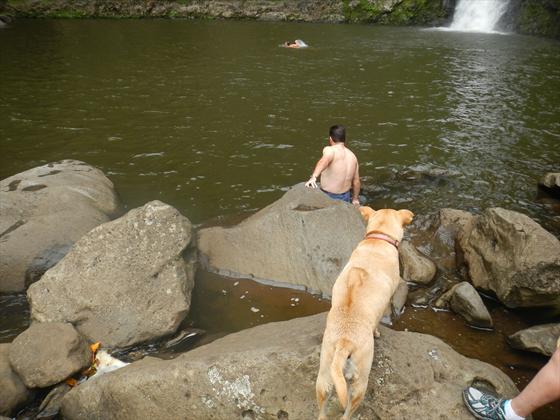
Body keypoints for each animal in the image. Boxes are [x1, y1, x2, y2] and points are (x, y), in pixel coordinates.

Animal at [318, 208, 414, 420]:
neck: (378, 238)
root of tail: (344, 342)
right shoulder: (387, 300)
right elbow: (379, 321)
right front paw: (377, 333)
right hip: (359, 383)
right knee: (348, 411)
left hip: (324, 376)